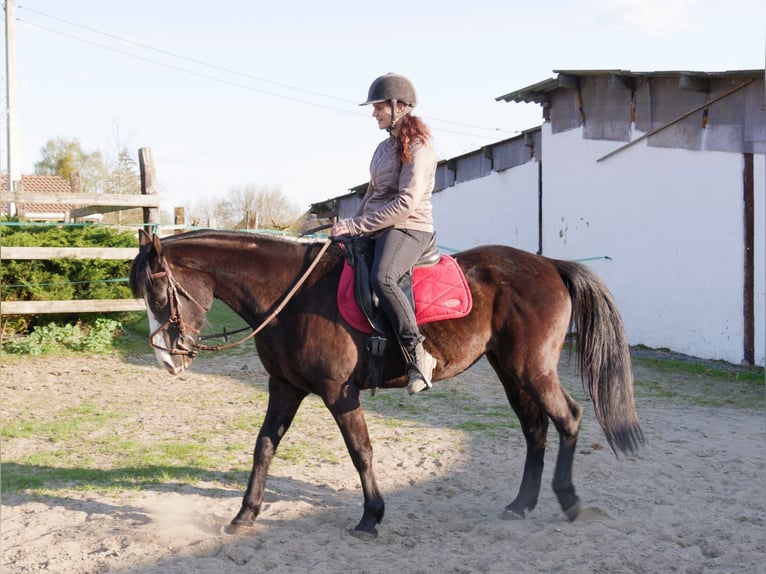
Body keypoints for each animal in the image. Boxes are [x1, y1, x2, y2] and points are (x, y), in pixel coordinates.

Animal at [129, 228, 644, 538]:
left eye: (158, 292)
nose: (167, 359)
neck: (291, 294)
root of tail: (549, 264)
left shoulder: (338, 392)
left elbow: (361, 451)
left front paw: (371, 517)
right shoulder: (285, 387)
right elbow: (264, 447)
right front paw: (244, 514)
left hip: (531, 368)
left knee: (568, 418)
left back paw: (570, 501)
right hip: (510, 369)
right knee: (535, 429)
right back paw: (521, 505)